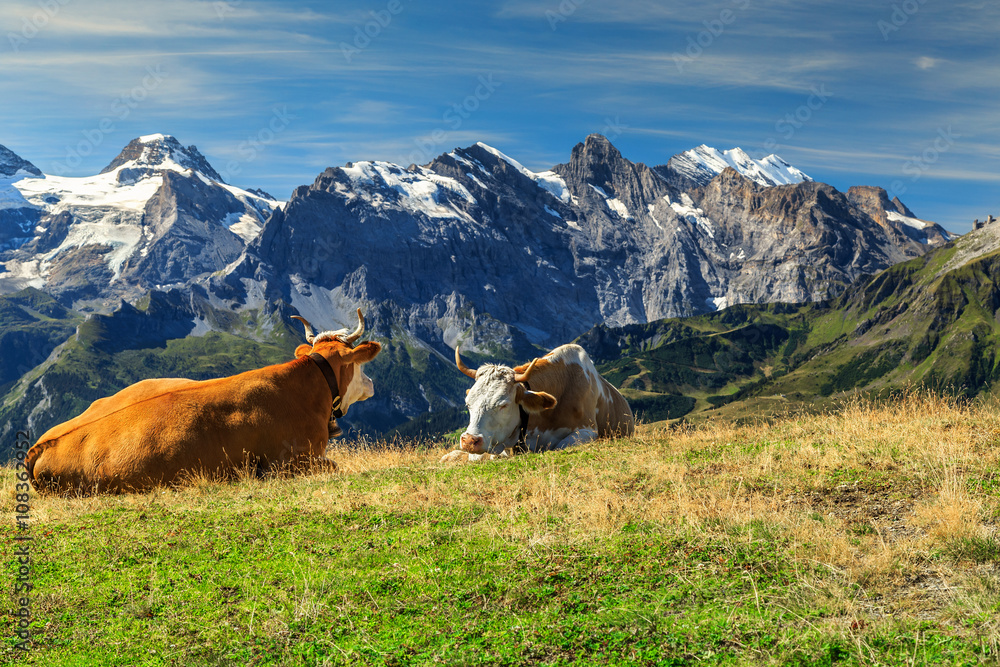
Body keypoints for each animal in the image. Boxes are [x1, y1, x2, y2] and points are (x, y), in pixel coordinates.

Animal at [27, 310, 380, 496]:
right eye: (360, 364)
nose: (372, 384)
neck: (306, 388)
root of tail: (44, 444)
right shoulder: (293, 460)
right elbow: (334, 465)